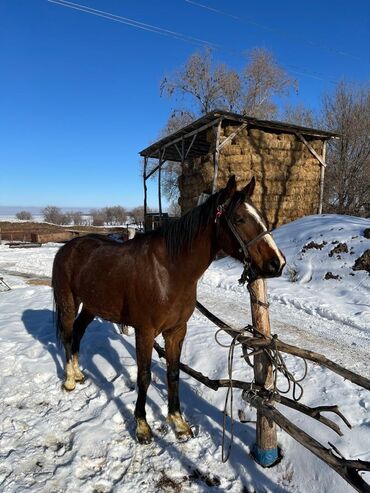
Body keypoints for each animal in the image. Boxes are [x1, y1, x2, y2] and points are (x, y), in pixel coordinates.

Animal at [51, 176, 284, 442]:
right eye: (239, 219)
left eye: (260, 217)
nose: (277, 263)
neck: (168, 271)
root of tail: (68, 247)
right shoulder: (145, 332)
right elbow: (144, 376)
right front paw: (142, 426)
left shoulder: (176, 330)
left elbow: (173, 373)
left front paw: (178, 422)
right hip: (69, 302)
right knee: (68, 335)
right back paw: (69, 380)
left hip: (91, 306)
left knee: (78, 333)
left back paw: (79, 374)